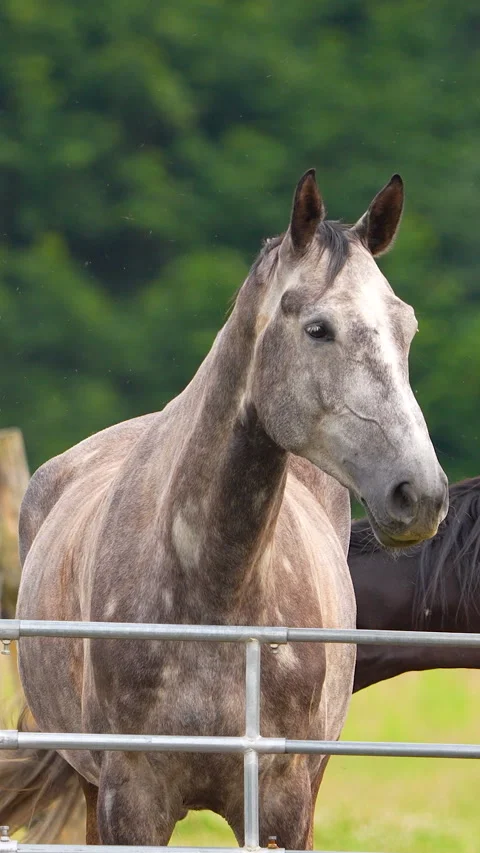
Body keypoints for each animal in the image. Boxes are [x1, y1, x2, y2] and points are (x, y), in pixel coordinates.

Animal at [2, 170, 447, 849]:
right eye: (318, 328)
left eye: (407, 327)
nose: (419, 493)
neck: (215, 592)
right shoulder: (131, 802)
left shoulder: (284, 803)